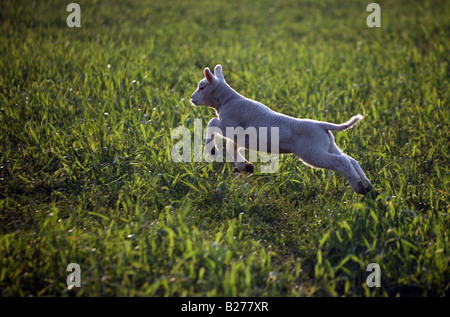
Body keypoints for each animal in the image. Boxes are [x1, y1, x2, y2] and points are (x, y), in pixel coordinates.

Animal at [190, 64, 372, 194]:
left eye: (201, 87)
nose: (191, 99)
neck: (228, 100)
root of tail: (322, 125)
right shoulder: (237, 136)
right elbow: (231, 147)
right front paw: (245, 166)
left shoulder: (228, 124)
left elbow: (212, 122)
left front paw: (211, 148)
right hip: (328, 146)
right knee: (350, 159)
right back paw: (367, 186)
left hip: (313, 153)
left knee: (341, 162)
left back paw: (359, 188)